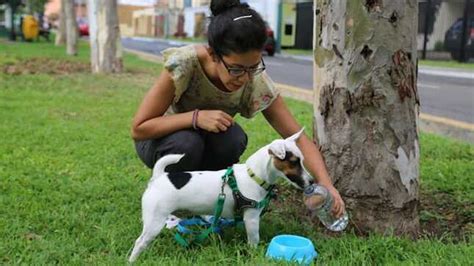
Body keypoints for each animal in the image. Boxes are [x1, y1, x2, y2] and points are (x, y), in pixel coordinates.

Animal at [129, 129, 314, 262]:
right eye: (294, 162)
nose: (312, 181)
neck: (254, 176)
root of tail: (159, 177)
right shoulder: (251, 219)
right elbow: (254, 239)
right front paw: (255, 254)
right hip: (155, 221)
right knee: (140, 242)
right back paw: (132, 260)